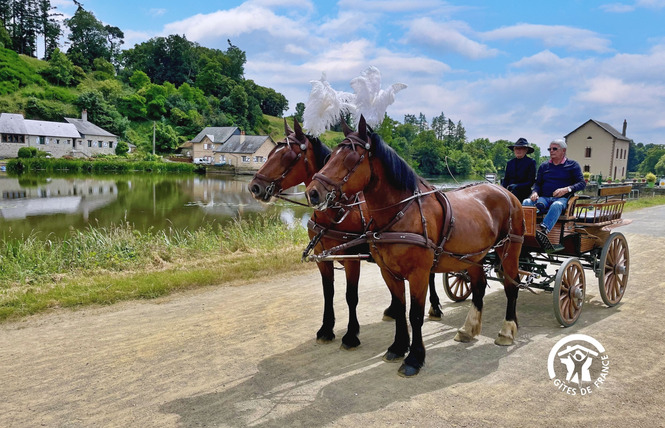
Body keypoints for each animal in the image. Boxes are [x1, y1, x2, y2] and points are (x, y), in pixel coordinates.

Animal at [249, 118, 440, 350]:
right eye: (269, 154)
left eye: (286, 156)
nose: (255, 187)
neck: (337, 211)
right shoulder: (322, 258)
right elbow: (328, 293)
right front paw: (326, 329)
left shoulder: (352, 259)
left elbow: (351, 296)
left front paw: (351, 335)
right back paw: (393, 309)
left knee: (430, 274)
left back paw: (435, 306)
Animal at [306, 115, 524, 376]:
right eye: (329, 158)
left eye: (350, 159)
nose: (312, 193)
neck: (402, 212)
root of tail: (504, 191)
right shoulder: (389, 272)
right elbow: (400, 309)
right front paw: (399, 347)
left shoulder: (418, 273)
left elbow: (416, 314)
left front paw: (414, 358)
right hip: (473, 256)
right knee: (479, 286)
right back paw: (468, 329)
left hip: (509, 250)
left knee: (512, 286)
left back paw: (506, 331)